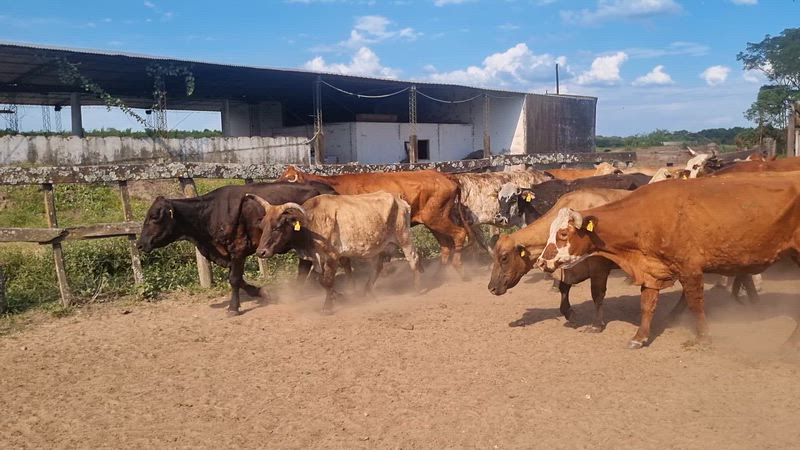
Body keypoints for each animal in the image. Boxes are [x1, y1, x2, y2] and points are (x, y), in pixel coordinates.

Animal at [136, 182, 335, 316]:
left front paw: (233, 307)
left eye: (154, 217)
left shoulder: (238, 249)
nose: (139, 244)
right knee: (305, 265)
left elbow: (234, 279)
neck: (210, 212)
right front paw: (261, 291)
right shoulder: (229, 253)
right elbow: (238, 279)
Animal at [247, 192, 422, 313]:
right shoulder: (317, 258)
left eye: (277, 227)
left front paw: (328, 306)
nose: (260, 252)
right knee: (377, 267)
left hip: (403, 237)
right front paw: (340, 296)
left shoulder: (331, 256)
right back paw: (365, 291)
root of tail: (398, 199)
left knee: (413, 258)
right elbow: (321, 280)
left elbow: (328, 280)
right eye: (262, 226)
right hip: (379, 245)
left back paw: (416, 289)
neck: (310, 223)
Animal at [277, 166, 470, 277]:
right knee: (446, 245)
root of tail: (444, 176)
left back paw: (457, 266)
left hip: (436, 218)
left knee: (459, 234)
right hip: (433, 221)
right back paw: (440, 273)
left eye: (288, 179)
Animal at [535, 173, 800, 349]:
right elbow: (647, 304)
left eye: (563, 234)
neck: (647, 216)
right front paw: (640, 337)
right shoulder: (652, 269)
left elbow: (696, 303)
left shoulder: (690, 269)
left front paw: (703, 337)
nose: (541, 262)